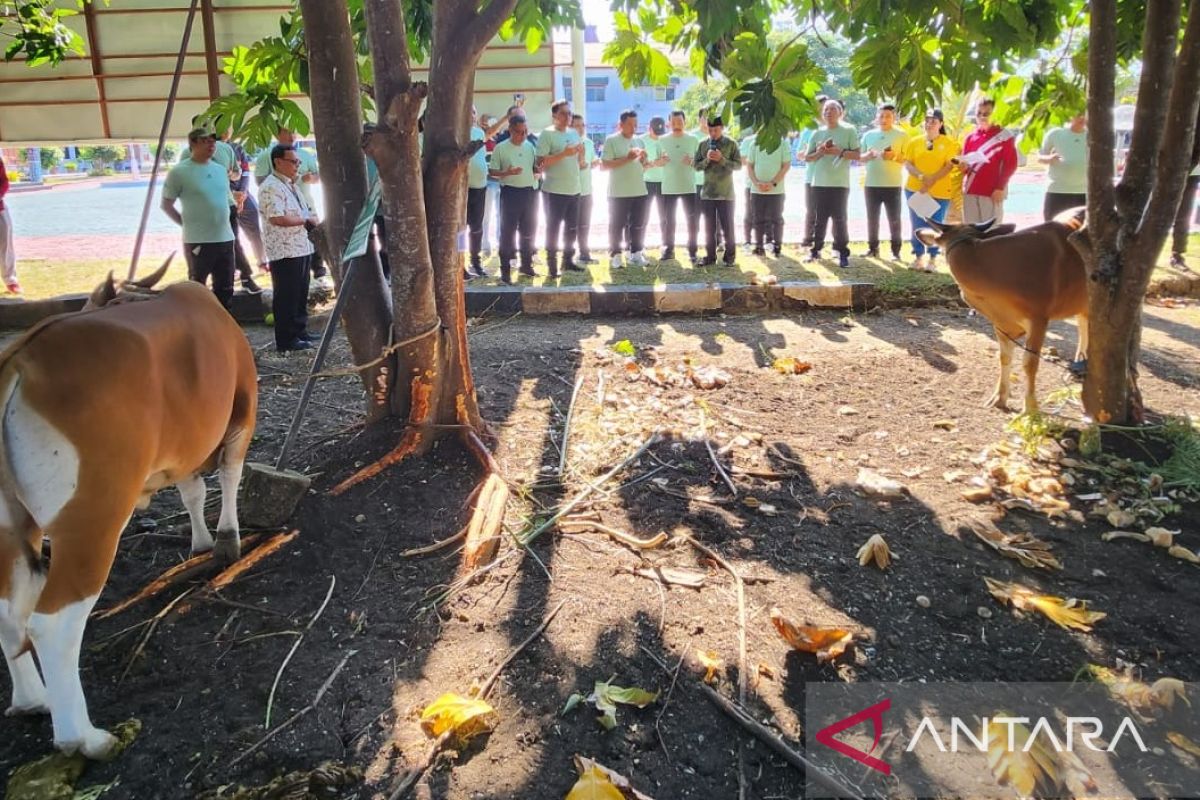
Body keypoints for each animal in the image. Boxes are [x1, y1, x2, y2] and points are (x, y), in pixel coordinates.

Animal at [0, 266, 258, 762]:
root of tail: (20, 361)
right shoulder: (242, 414)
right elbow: (229, 477)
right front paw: (225, 541)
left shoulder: (183, 452)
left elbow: (192, 491)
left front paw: (200, 541)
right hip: (92, 520)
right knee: (52, 623)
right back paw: (85, 737)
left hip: (7, 527)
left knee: (8, 614)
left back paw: (33, 699)